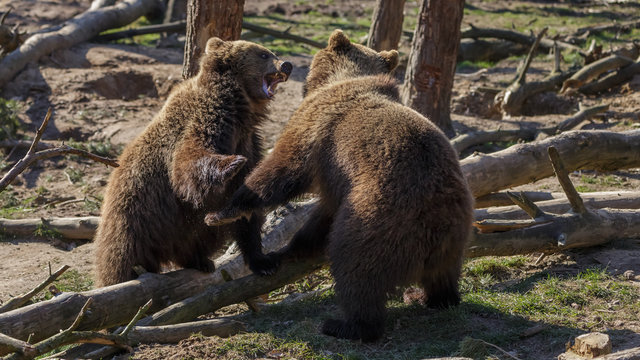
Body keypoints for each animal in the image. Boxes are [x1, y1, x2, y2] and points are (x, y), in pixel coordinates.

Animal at [92, 37, 292, 286]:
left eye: (271, 53)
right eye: (264, 54)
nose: (286, 65)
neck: (239, 110)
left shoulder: (249, 142)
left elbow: (247, 214)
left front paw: (263, 262)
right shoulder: (203, 124)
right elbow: (188, 164)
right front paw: (231, 164)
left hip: (181, 231)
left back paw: (201, 261)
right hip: (133, 218)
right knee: (119, 258)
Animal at [205, 29, 476, 342]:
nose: (288, 66)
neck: (343, 80)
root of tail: (436, 220)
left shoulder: (317, 131)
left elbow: (281, 171)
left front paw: (223, 212)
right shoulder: (336, 177)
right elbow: (322, 214)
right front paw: (288, 250)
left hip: (379, 216)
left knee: (356, 268)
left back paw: (345, 324)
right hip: (456, 233)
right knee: (443, 276)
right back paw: (430, 298)